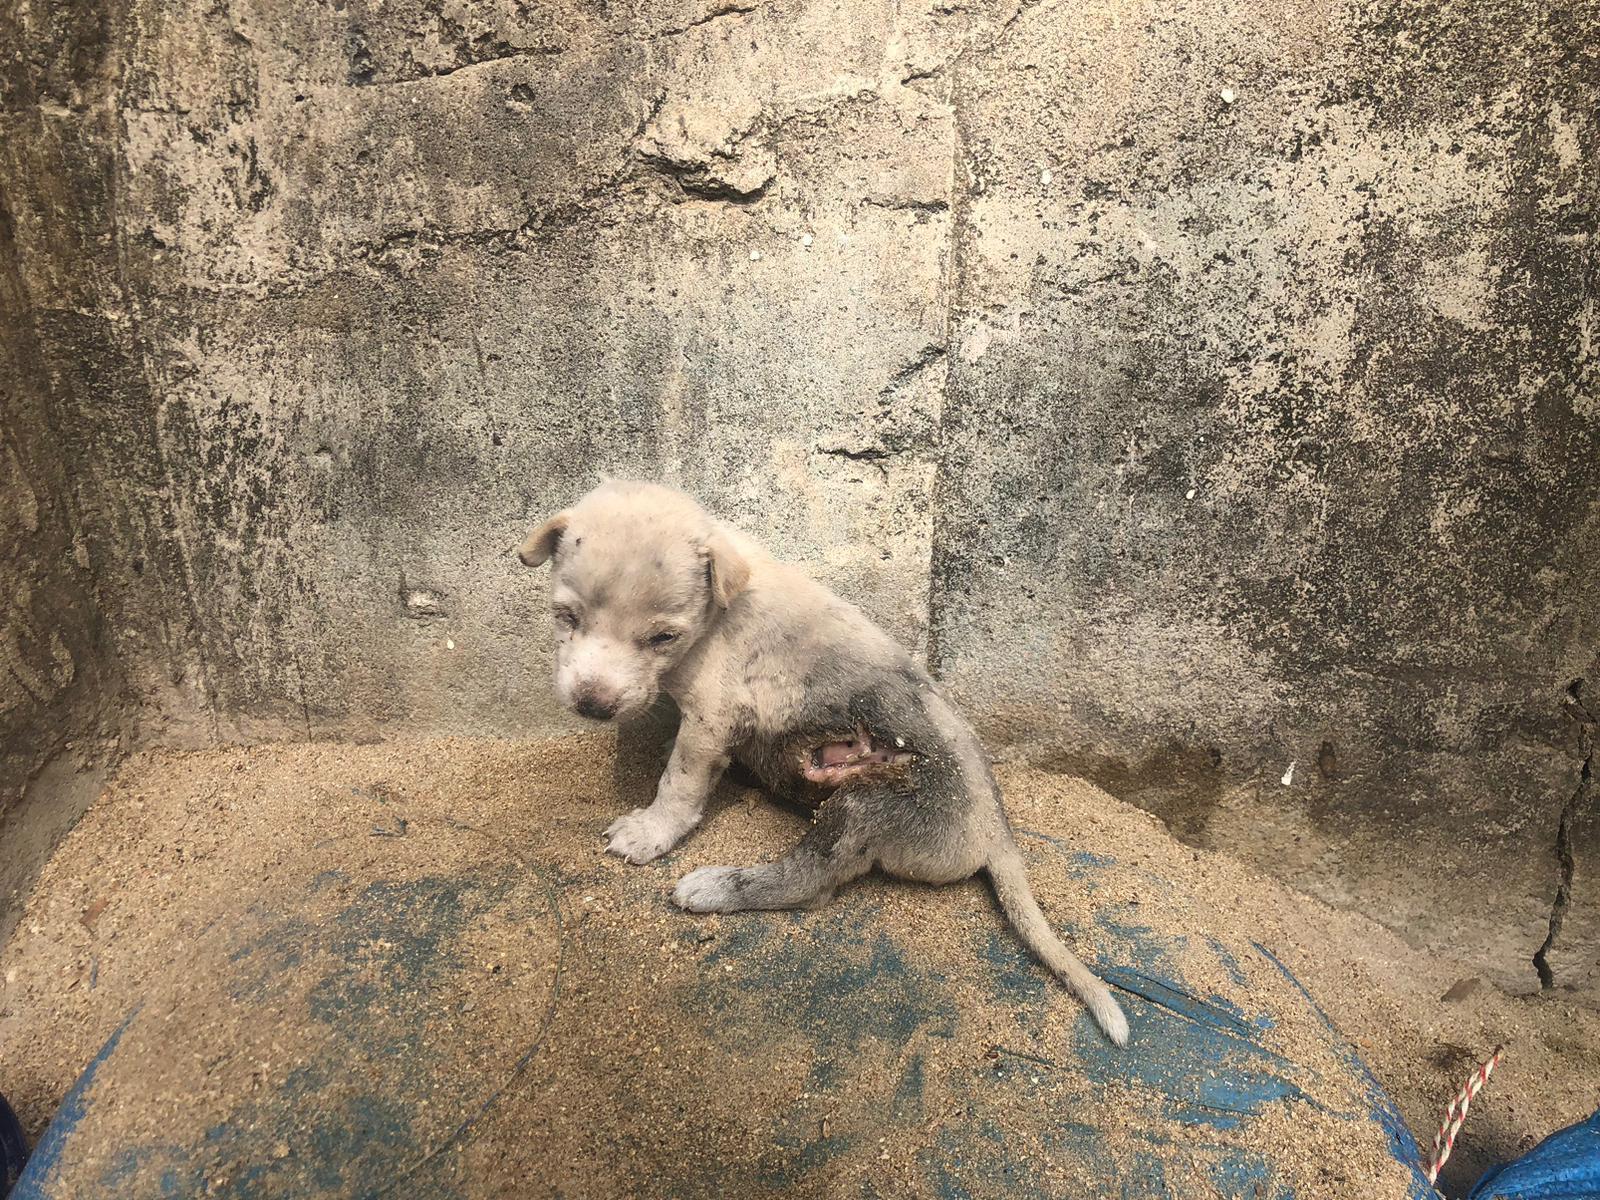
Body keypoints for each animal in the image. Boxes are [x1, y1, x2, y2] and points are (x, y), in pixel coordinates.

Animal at [518, 480, 1129, 1046]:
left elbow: (679, 785)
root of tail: (998, 833)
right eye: (565, 616)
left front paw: (649, 831)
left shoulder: (710, 721)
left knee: (808, 884)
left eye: (663, 636)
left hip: (864, 809)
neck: (719, 611)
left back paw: (716, 887)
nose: (593, 705)